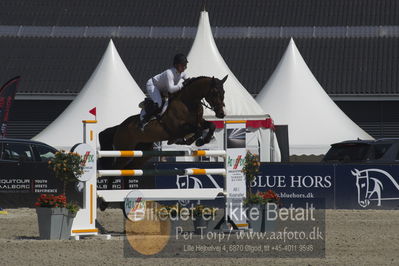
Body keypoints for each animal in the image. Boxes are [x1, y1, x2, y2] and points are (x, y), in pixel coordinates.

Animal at [99, 75, 228, 170]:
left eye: (224, 92)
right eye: (215, 92)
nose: (221, 114)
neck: (188, 103)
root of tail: (119, 127)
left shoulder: (199, 122)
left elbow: (211, 125)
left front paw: (203, 141)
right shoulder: (177, 129)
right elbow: (197, 131)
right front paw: (193, 141)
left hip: (143, 152)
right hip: (125, 151)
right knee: (114, 169)